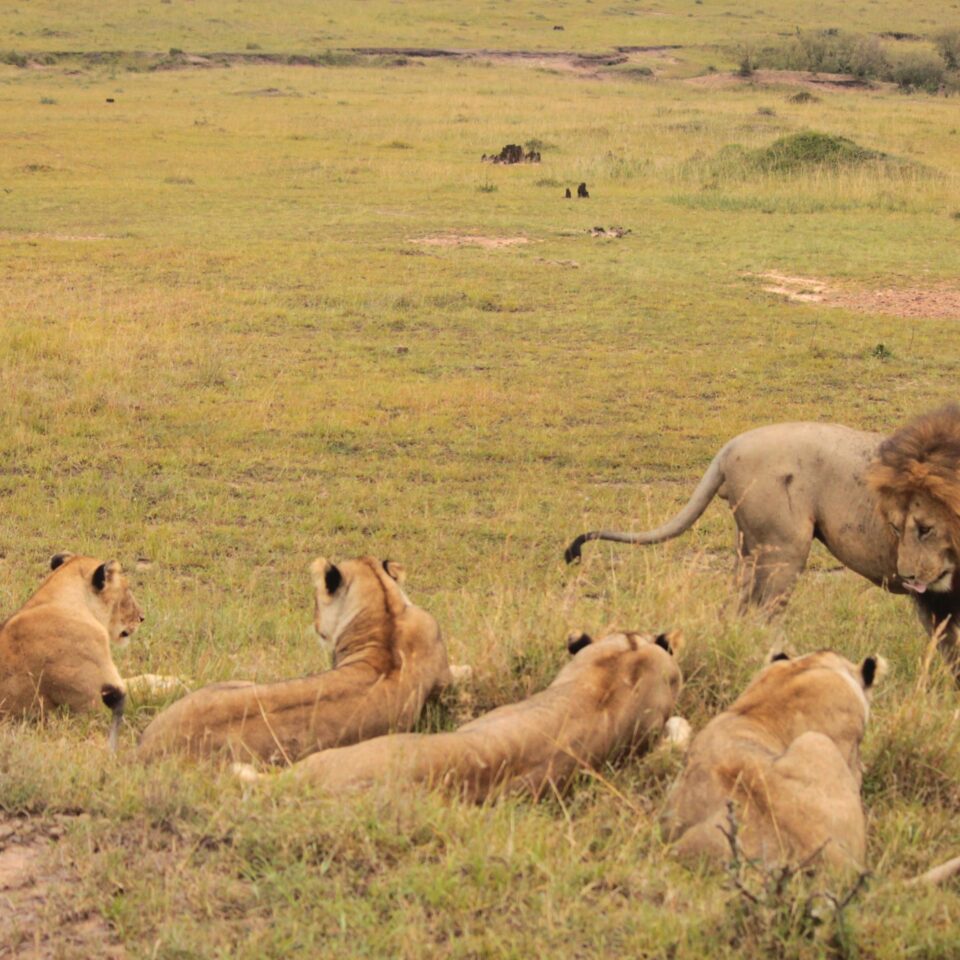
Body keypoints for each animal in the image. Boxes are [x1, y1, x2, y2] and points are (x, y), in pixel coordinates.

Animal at [568, 408, 960, 680]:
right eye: (896, 527)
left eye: (925, 529)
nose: (907, 577)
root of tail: (732, 446)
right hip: (783, 549)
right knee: (764, 616)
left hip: (749, 550)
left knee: (733, 610)